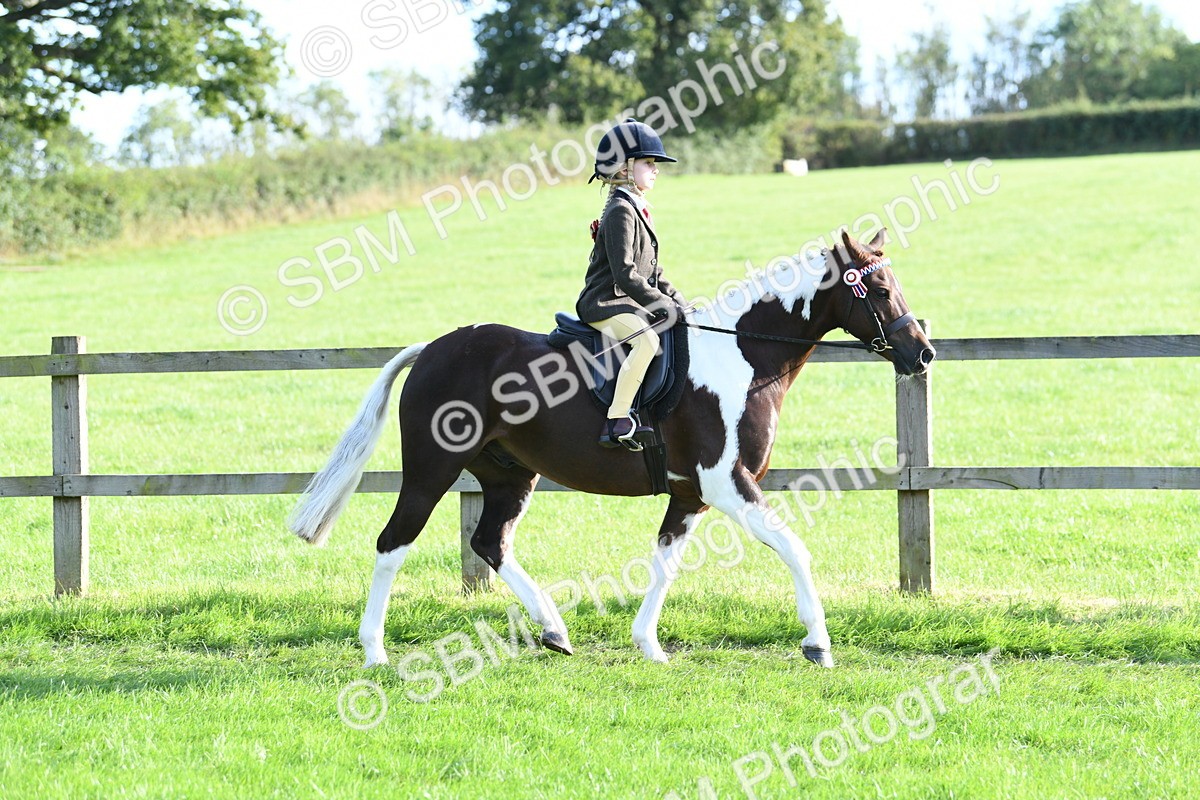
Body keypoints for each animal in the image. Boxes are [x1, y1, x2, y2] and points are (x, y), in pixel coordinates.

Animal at [288, 228, 935, 669]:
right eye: (880, 288)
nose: (922, 353)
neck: (743, 355)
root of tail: (433, 349)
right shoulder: (728, 484)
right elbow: (795, 549)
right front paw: (817, 643)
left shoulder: (692, 494)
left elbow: (666, 561)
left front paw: (648, 644)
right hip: (431, 469)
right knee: (393, 543)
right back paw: (374, 652)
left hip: (508, 476)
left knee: (490, 542)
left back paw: (553, 631)